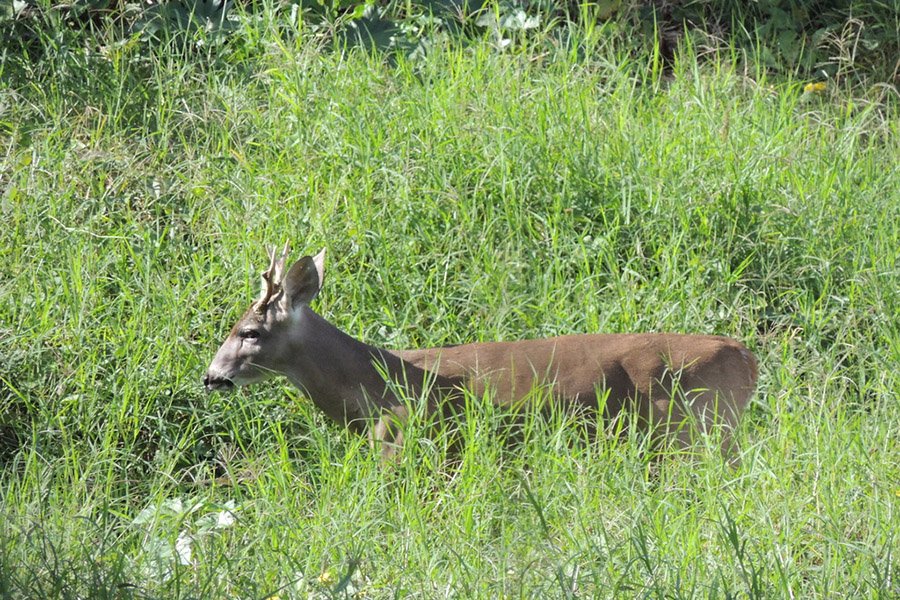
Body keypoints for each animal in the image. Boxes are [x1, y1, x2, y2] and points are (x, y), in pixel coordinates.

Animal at [204, 244, 760, 460]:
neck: (369, 383)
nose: (211, 376)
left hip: (693, 429)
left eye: (248, 331)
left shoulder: (407, 440)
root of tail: (747, 356)